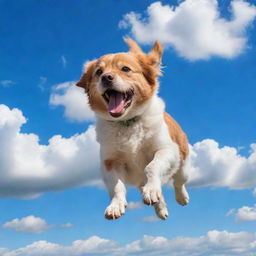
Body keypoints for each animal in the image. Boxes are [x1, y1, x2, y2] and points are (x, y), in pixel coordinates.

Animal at [75, 38, 189, 220]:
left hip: (183, 165)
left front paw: (153, 189)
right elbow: (117, 186)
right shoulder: (110, 163)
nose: (106, 77)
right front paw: (115, 205)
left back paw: (181, 197)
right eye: (99, 72)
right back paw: (160, 208)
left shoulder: (166, 150)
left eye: (125, 69)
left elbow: (151, 167)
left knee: (179, 182)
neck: (126, 122)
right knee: (157, 193)